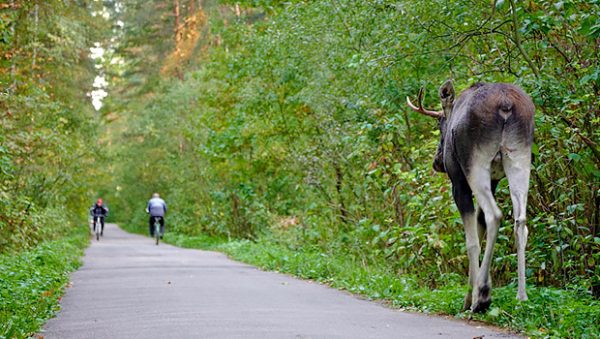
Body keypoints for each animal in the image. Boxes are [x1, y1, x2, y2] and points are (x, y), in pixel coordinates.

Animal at [408, 80, 536, 314]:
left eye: (440, 122)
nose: (437, 161)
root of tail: (506, 105)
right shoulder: (494, 181)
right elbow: (479, 226)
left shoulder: (458, 183)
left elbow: (472, 240)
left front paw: (469, 298)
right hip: (520, 158)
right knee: (520, 221)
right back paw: (521, 296)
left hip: (475, 163)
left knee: (495, 216)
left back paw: (483, 296)